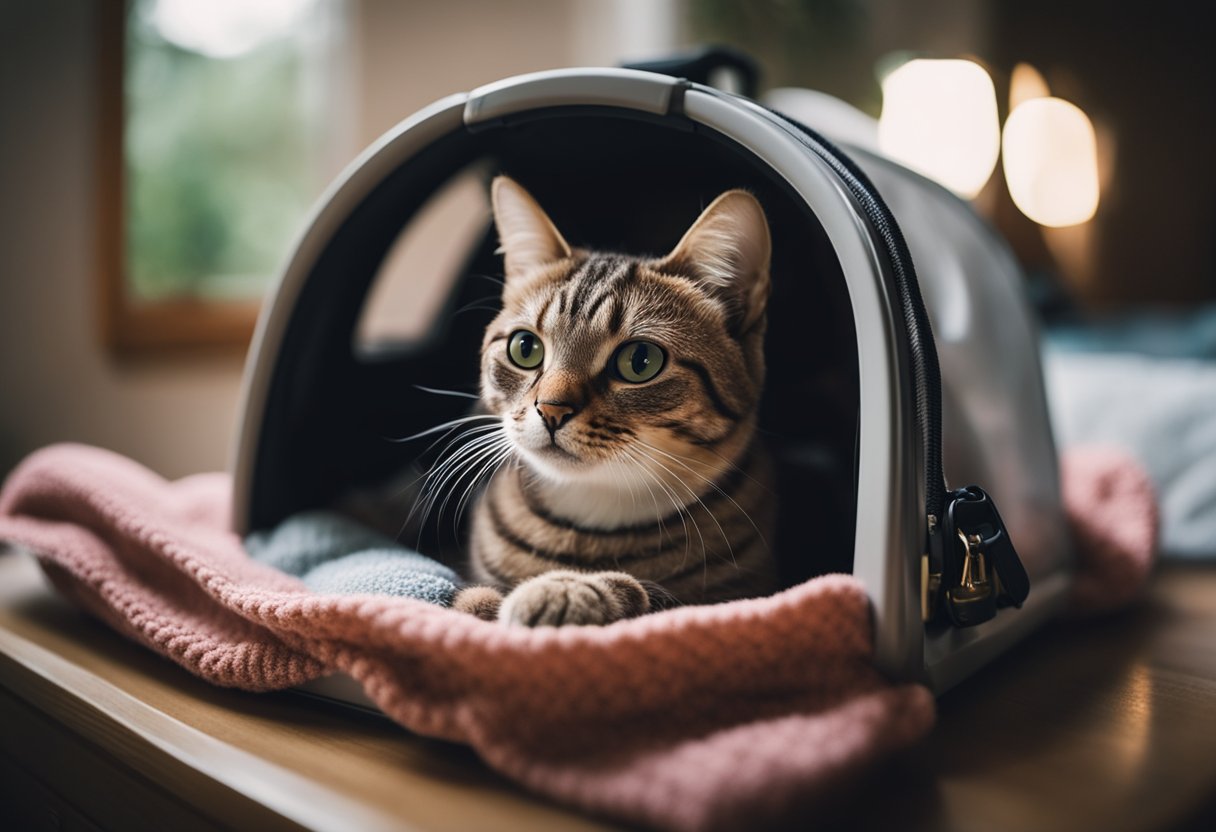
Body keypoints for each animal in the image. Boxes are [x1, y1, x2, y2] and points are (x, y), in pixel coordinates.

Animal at [452, 180, 773, 622]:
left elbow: (655, 595)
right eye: (525, 348)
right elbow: (471, 597)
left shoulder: (738, 593)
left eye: (640, 361)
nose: (551, 409)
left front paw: (566, 590)